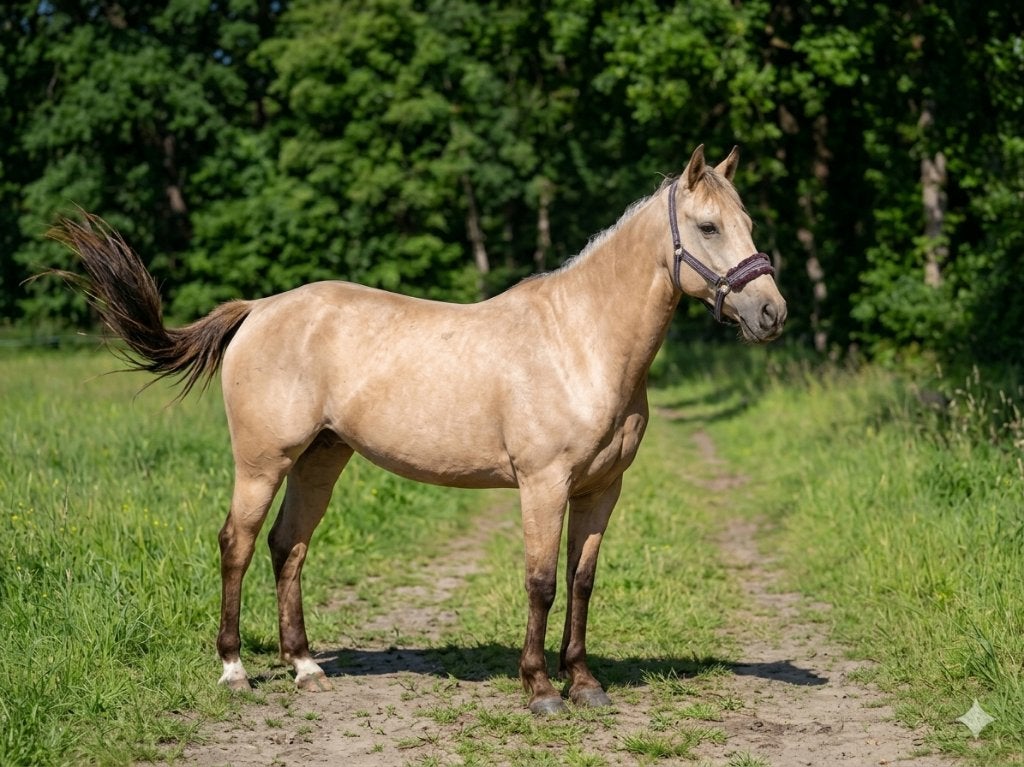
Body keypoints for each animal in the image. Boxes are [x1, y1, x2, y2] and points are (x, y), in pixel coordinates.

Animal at [51, 145, 786, 715]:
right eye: (708, 226)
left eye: (748, 223)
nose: (771, 313)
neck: (580, 340)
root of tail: (259, 308)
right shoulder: (543, 485)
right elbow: (541, 582)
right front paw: (541, 689)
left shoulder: (602, 489)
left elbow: (582, 582)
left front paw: (584, 683)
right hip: (263, 461)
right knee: (238, 542)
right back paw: (234, 670)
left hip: (323, 457)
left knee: (289, 546)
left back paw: (305, 666)